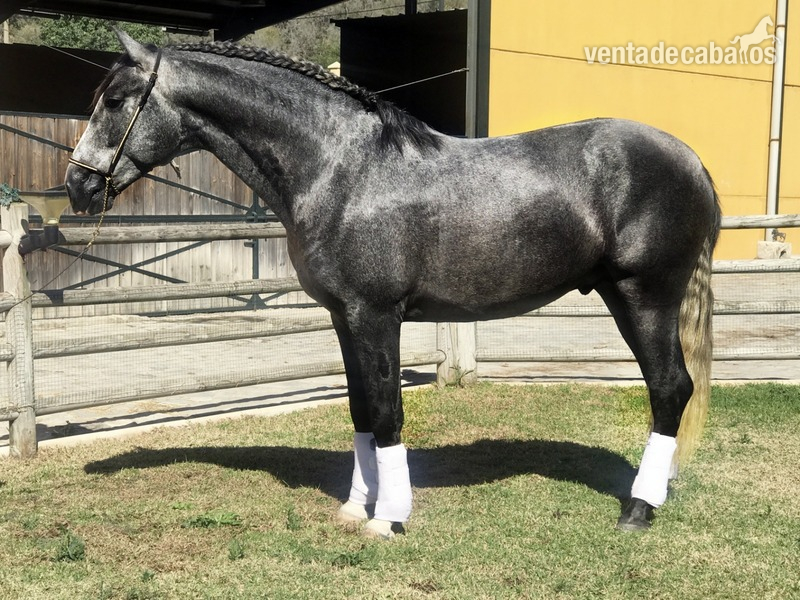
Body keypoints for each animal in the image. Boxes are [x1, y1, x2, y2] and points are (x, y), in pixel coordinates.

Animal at [65, 31, 721, 537]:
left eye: (116, 100)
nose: (78, 185)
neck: (341, 169)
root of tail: (689, 159)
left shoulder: (375, 313)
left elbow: (385, 410)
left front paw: (390, 517)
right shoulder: (343, 315)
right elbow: (359, 407)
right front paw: (358, 506)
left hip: (643, 294)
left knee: (670, 388)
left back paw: (638, 508)